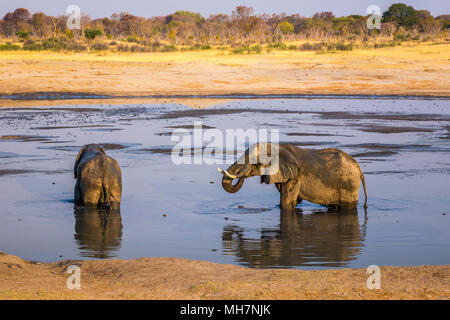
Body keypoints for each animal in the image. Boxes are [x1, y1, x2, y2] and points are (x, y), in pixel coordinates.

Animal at [219, 144, 370, 211]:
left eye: (255, 162)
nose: (243, 175)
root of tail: (359, 168)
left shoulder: (295, 177)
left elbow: (286, 203)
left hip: (349, 185)